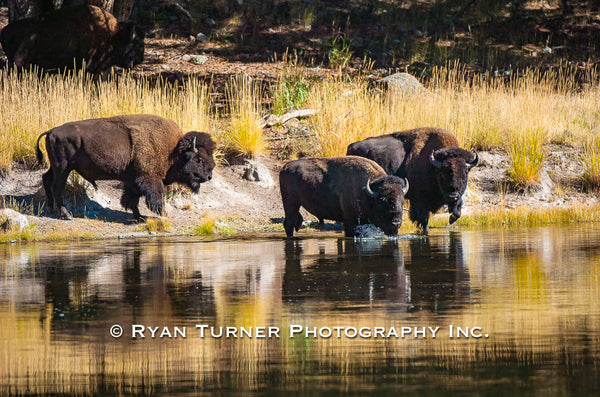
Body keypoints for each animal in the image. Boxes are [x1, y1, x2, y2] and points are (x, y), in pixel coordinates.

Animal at [34, 113, 216, 220]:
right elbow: (156, 197)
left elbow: (131, 199)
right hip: (63, 168)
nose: (209, 176)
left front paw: (139, 217)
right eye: (199, 159)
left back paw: (50, 209)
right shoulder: (149, 178)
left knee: (47, 179)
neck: (174, 151)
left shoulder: (132, 180)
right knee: (57, 187)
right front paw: (162, 214)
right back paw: (66, 214)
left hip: (56, 167)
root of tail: (51, 131)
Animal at [278, 155, 410, 237]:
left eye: (402, 201)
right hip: (290, 203)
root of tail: (285, 167)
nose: (396, 223)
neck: (368, 192)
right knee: (288, 224)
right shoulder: (350, 222)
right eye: (382, 201)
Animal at [346, 127, 478, 232]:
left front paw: (451, 219)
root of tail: (351, 147)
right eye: (442, 173)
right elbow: (423, 220)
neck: (432, 166)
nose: (453, 195)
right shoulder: (420, 201)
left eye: (465, 174)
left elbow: (457, 211)